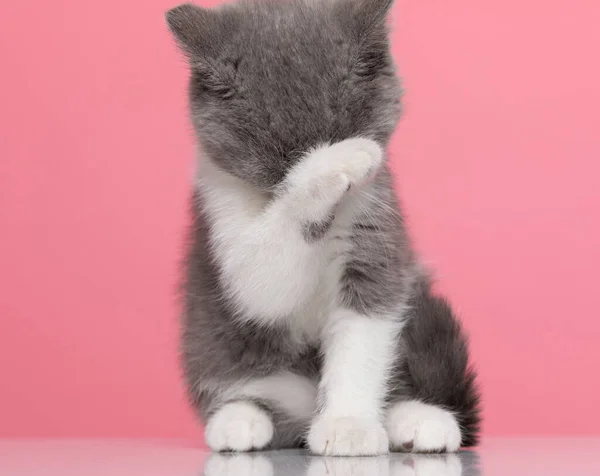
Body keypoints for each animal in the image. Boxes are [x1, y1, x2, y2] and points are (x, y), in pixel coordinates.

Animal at [166, 0, 480, 456]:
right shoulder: (220, 206)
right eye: (282, 164)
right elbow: (263, 285)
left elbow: (363, 334)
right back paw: (239, 419)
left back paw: (419, 419)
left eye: (339, 130)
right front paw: (338, 162)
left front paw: (349, 424)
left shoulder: (376, 230)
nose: (338, 154)